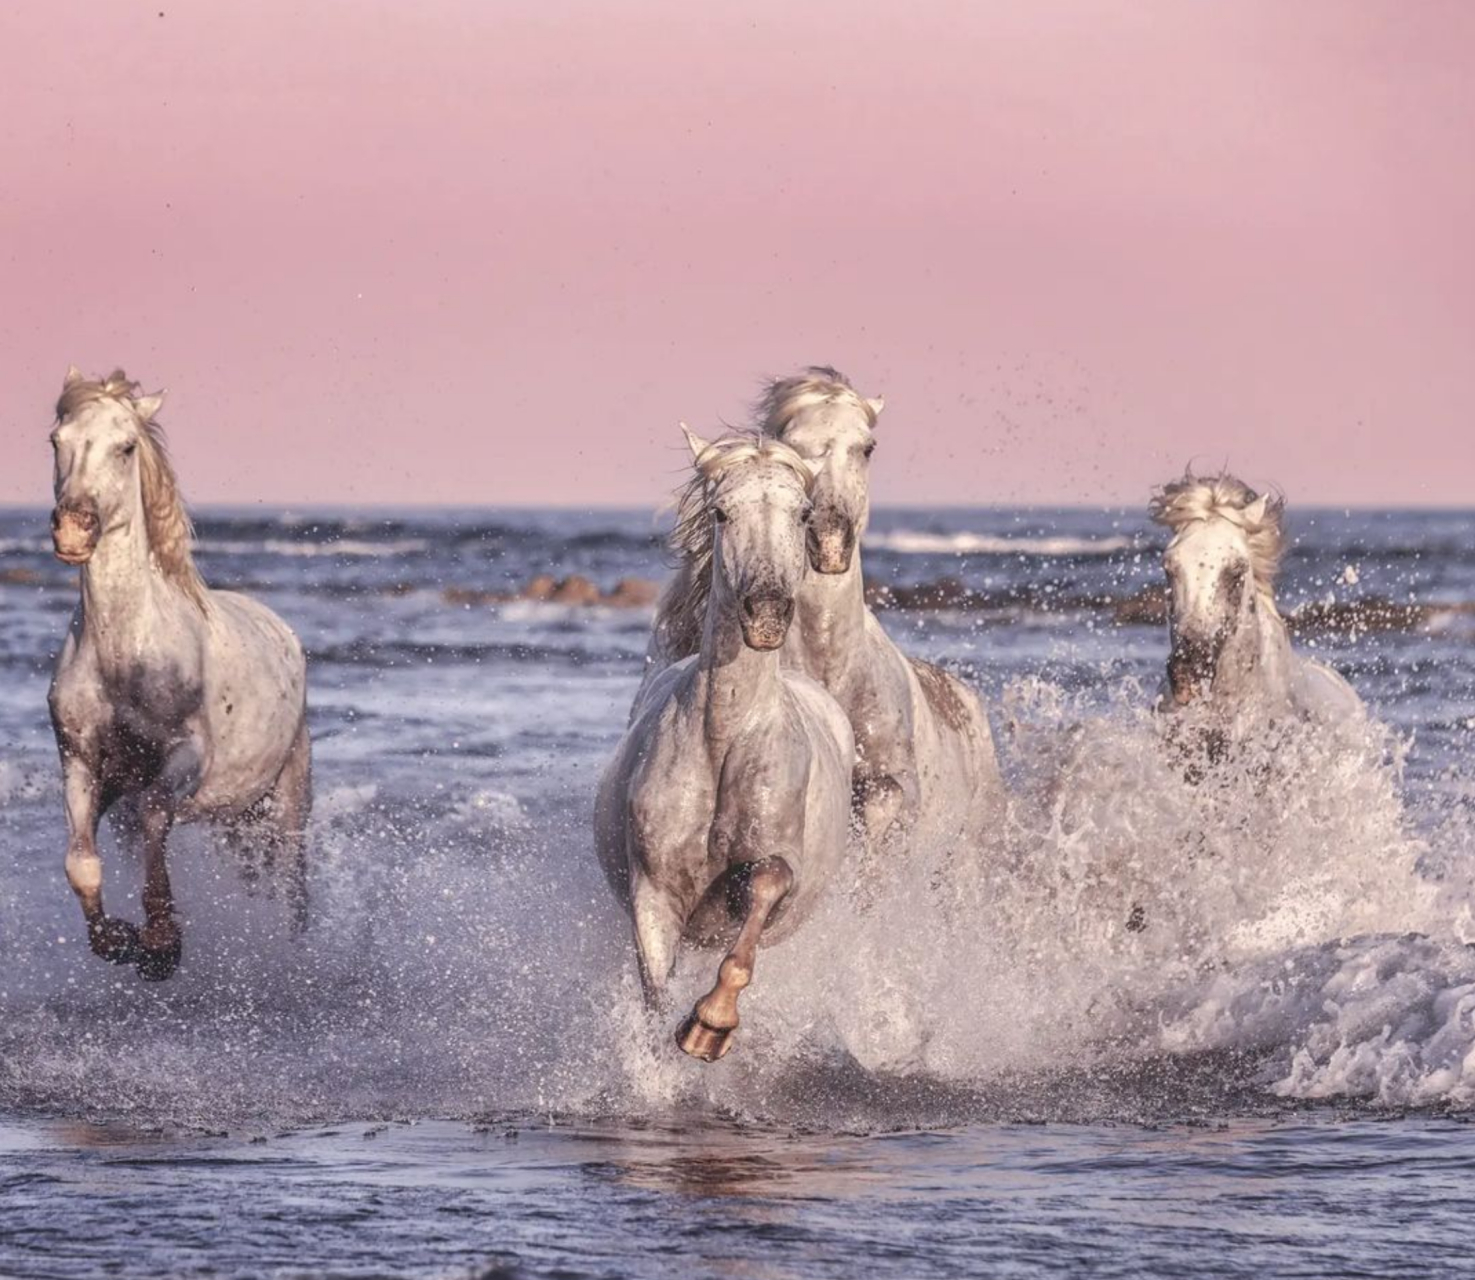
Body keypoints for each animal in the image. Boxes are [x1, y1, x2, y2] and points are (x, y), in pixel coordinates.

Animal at [46, 370, 311, 979]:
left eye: (126, 447)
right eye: (56, 441)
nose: (73, 530)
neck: (128, 656)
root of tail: (283, 631)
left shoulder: (186, 757)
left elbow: (154, 816)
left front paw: (163, 943)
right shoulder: (80, 762)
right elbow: (81, 863)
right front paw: (120, 941)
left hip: (287, 800)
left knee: (293, 888)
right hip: (236, 819)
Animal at [595, 430, 855, 1061]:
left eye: (803, 512)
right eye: (720, 512)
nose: (766, 614)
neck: (723, 740)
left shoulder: (776, 868)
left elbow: (758, 899)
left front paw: (710, 1025)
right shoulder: (654, 895)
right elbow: (654, 993)